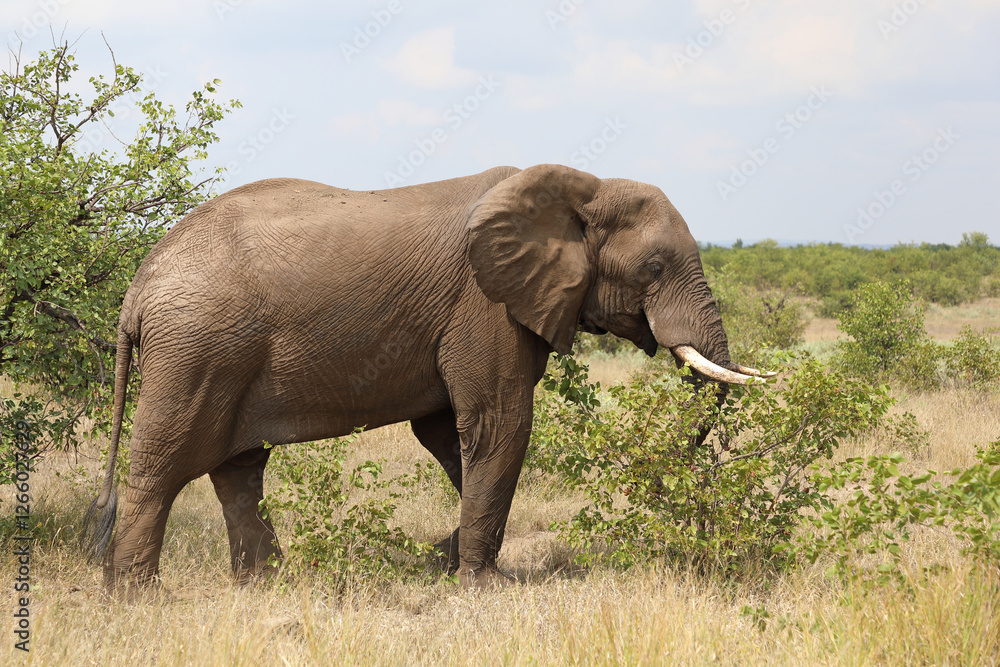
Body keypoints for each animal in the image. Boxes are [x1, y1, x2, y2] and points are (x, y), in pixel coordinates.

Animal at [87, 163, 769, 592]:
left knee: (238, 469)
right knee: (166, 464)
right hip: (198, 350)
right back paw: (137, 598)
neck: (581, 188)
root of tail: (138, 287)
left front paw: (447, 560)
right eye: (653, 267)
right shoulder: (486, 305)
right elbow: (498, 424)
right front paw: (484, 584)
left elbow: (448, 436)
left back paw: (263, 585)